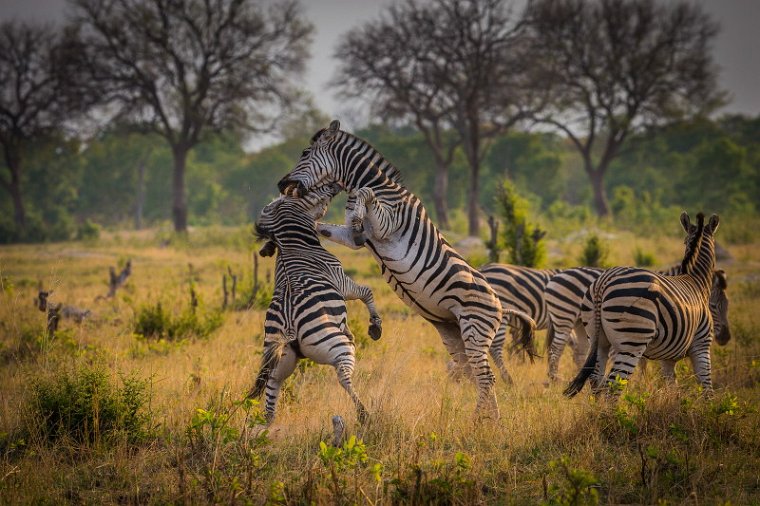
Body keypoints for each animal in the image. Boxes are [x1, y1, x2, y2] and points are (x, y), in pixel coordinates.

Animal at [248, 183, 382, 422]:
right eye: (313, 192)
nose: (335, 185)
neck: (295, 244)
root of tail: (288, 326)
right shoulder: (342, 282)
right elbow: (367, 292)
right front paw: (375, 325)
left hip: (278, 365)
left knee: (270, 404)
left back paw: (263, 429)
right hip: (335, 347)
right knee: (344, 377)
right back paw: (364, 413)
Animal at [280, 119, 536, 420]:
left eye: (305, 153)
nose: (282, 184)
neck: (379, 185)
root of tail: (500, 305)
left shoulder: (386, 224)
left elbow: (365, 197)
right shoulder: (353, 237)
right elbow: (326, 227)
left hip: (475, 328)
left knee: (486, 377)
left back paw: (479, 422)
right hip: (456, 335)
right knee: (477, 376)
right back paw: (490, 421)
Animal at [548, 264, 732, 384]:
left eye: (728, 304)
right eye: (712, 306)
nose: (726, 338)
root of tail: (558, 274)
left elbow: (642, 361)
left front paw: (642, 381)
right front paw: (641, 383)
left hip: (580, 324)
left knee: (579, 351)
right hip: (565, 316)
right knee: (557, 348)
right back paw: (553, 378)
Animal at [568, 211, 720, 398]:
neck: (697, 282)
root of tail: (604, 281)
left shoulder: (668, 357)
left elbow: (672, 385)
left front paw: (671, 404)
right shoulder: (702, 344)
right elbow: (706, 386)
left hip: (597, 337)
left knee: (596, 379)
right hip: (632, 341)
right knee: (613, 385)